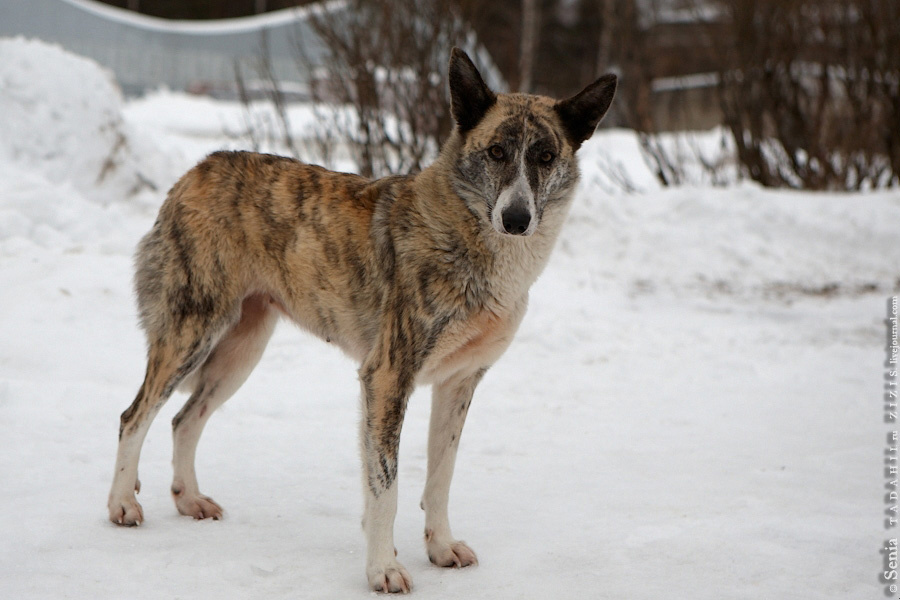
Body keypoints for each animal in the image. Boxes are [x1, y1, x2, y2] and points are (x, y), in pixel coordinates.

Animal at [103, 49, 612, 592]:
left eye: (545, 156)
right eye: (496, 152)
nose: (516, 219)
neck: (466, 236)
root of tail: (197, 169)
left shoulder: (458, 383)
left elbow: (440, 475)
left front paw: (440, 546)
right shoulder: (386, 377)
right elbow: (387, 485)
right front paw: (383, 568)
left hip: (240, 353)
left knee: (184, 419)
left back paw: (189, 499)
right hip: (192, 334)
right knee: (135, 416)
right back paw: (122, 504)